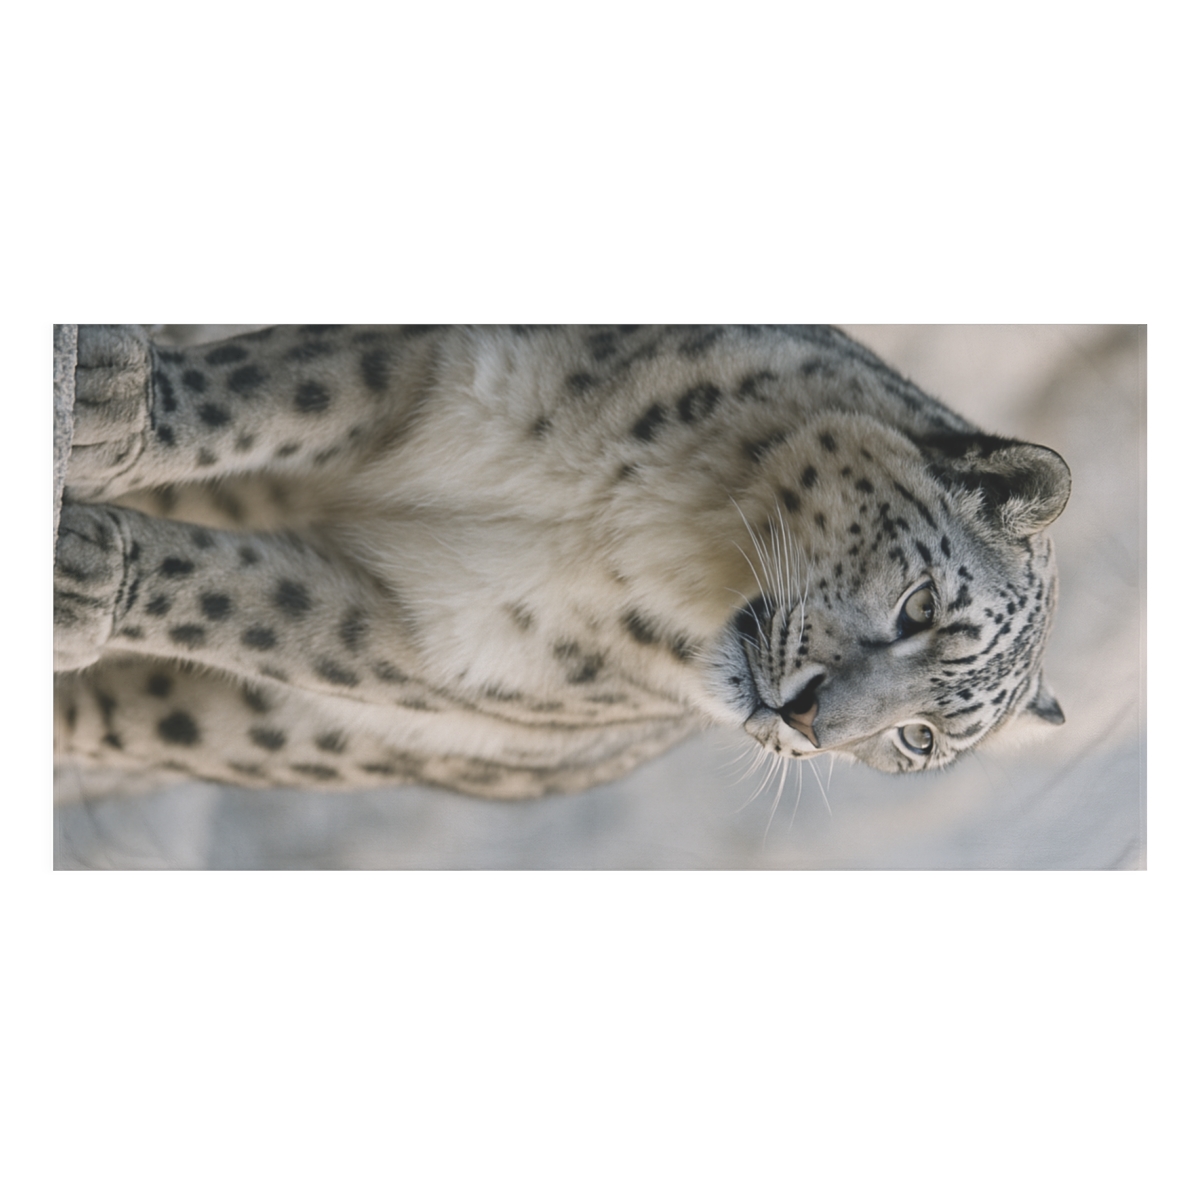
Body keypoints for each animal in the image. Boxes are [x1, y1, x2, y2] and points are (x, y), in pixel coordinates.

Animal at [54, 324, 1071, 801]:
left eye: (920, 740)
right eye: (922, 606)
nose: (812, 722)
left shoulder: (433, 643)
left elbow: (243, 600)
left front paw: (83, 569)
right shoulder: (419, 359)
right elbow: (260, 393)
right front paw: (113, 401)